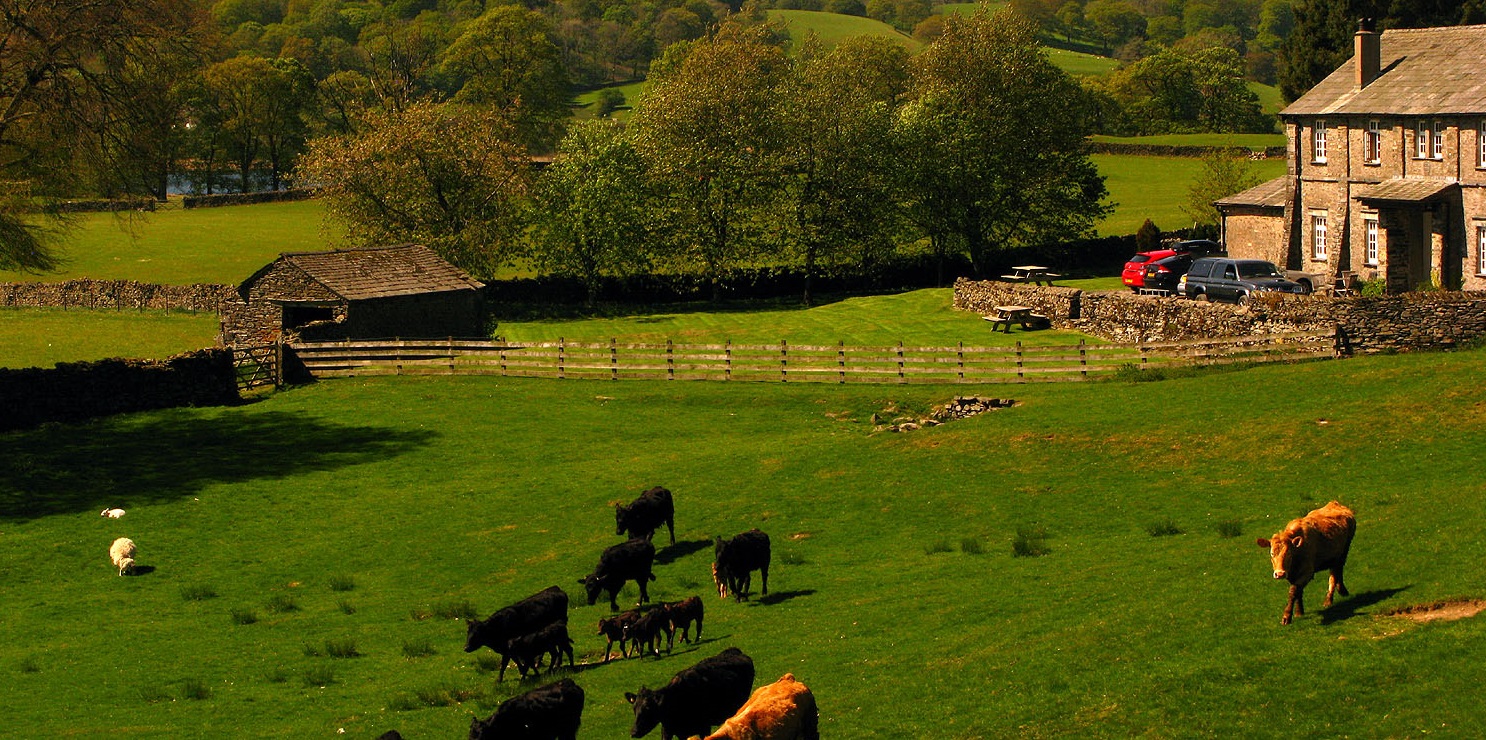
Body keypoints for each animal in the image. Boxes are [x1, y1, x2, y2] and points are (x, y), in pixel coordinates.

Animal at [624, 647, 754, 740]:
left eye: (648, 708)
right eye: (634, 708)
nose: (633, 732)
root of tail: (734, 650)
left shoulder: (704, 728)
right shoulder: (669, 731)